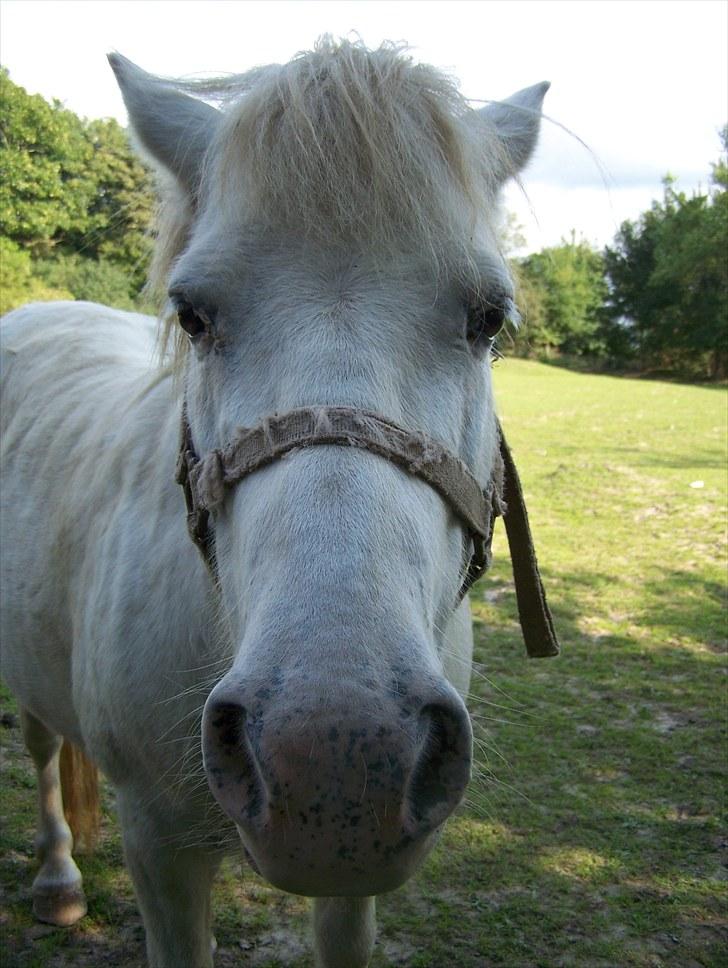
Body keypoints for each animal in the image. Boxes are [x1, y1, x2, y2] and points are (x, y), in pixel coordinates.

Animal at [0, 37, 552, 968]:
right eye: (191, 315)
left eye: (489, 317)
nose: (333, 762)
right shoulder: (158, 846)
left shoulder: (354, 891)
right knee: (42, 744)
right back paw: (58, 880)